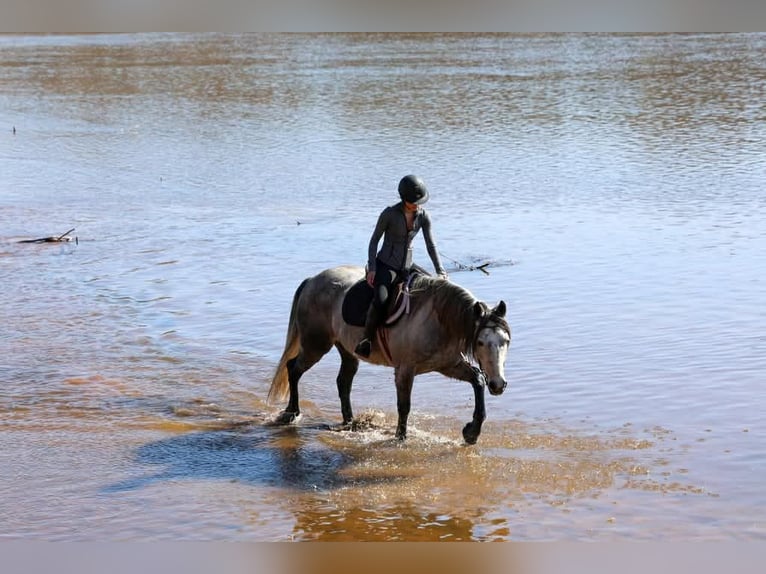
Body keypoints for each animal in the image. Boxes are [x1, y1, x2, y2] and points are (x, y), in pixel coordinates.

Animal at [267, 265, 511, 444]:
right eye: (480, 342)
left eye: (505, 341)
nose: (498, 384)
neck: (438, 319)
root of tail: (312, 281)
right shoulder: (405, 370)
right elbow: (404, 405)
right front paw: (400, 439)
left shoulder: (448, 365)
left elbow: (477, 380)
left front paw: (472, 432)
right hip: (315, 345)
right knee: (294, 369)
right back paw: (292, 412)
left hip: (345, 349)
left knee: (343, 382)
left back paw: (349, 422)